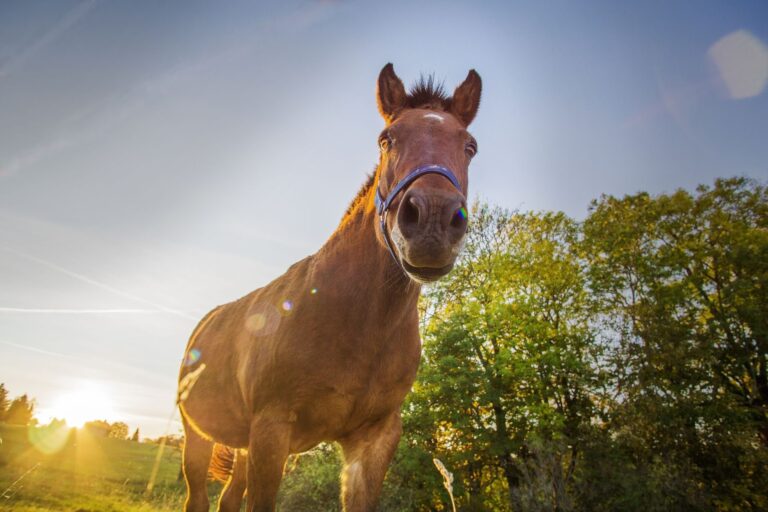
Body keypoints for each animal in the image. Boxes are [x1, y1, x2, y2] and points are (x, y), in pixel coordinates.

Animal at [177, 63, 482, 512]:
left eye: (470, 146)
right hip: (197, 437)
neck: (356, 323)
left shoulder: (374, 440)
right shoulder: (271, 431)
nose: (433, 219)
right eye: (386, 139)